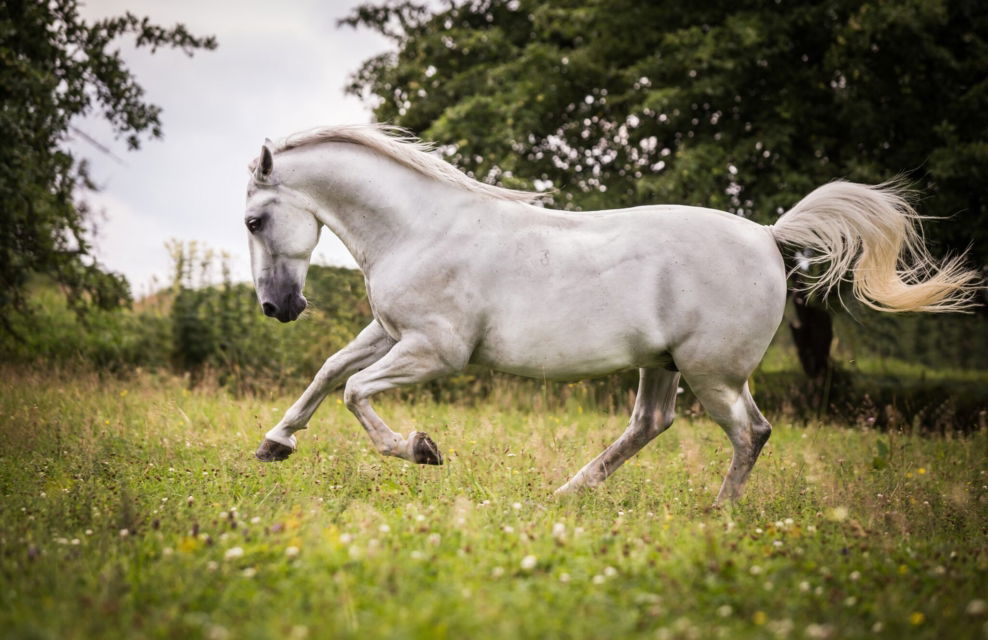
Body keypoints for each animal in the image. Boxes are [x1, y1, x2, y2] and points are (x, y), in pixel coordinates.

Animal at [244, 124, 978, 503]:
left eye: (254, 220)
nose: (278, 307)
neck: (422, 228)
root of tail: (770, 236)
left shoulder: (435, 350)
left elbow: (356, 392)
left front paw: (420, 449)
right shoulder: (390, 332)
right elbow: (330, 371)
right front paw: (274, 443)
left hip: (712, 374)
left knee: (751, 432)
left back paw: (718, 516)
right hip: (666, 366)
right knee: (652, 424)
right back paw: (568, 493)